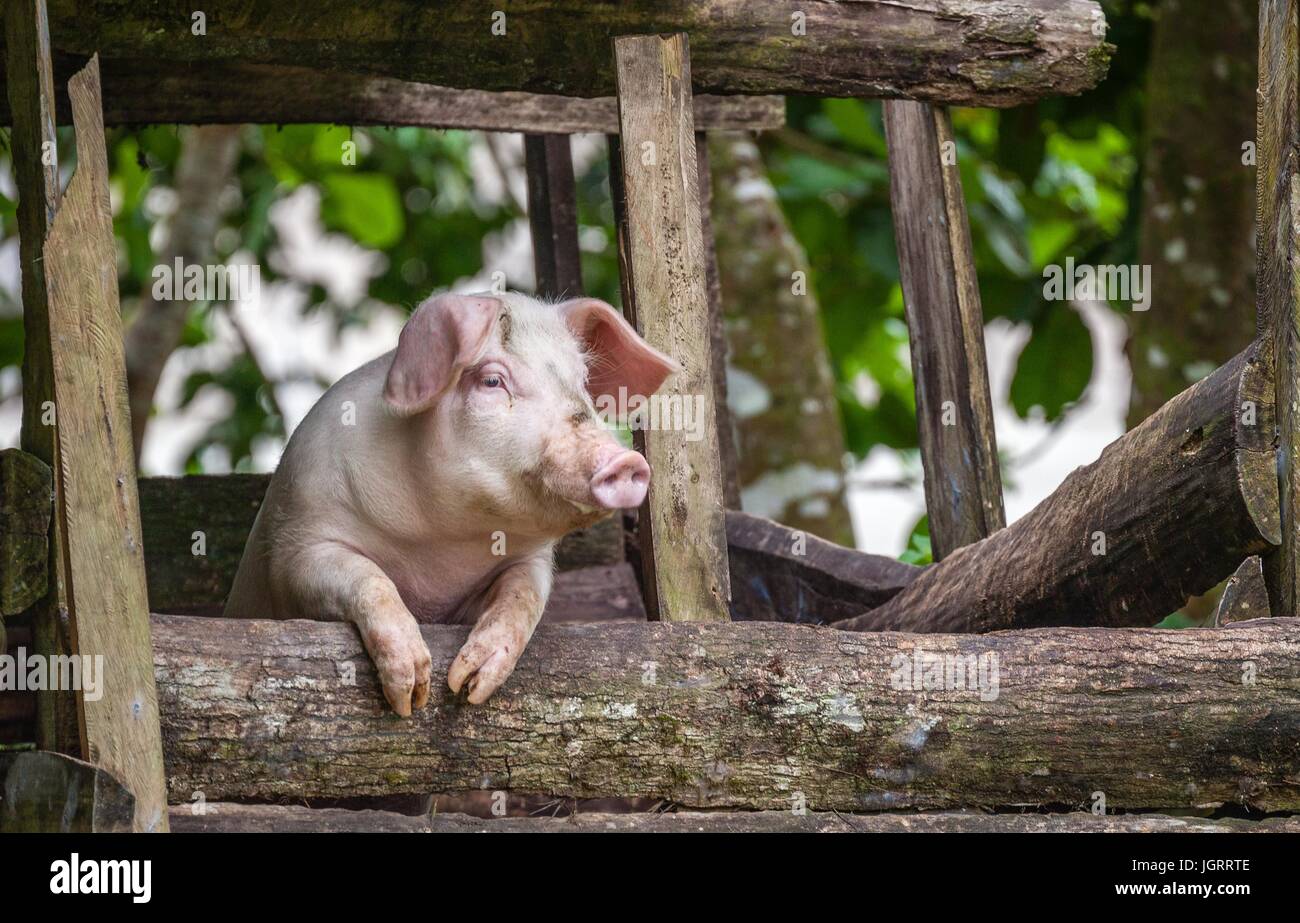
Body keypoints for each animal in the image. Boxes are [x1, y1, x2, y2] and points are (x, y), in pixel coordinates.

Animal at [223, 292, 676, 712]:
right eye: (492, 381)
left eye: (582, 380)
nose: (627, 461)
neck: (439, 543)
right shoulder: (299, 543)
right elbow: (368, 579)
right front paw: (412, 697)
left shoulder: (528, 562)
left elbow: (523, 598)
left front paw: (467, 687)